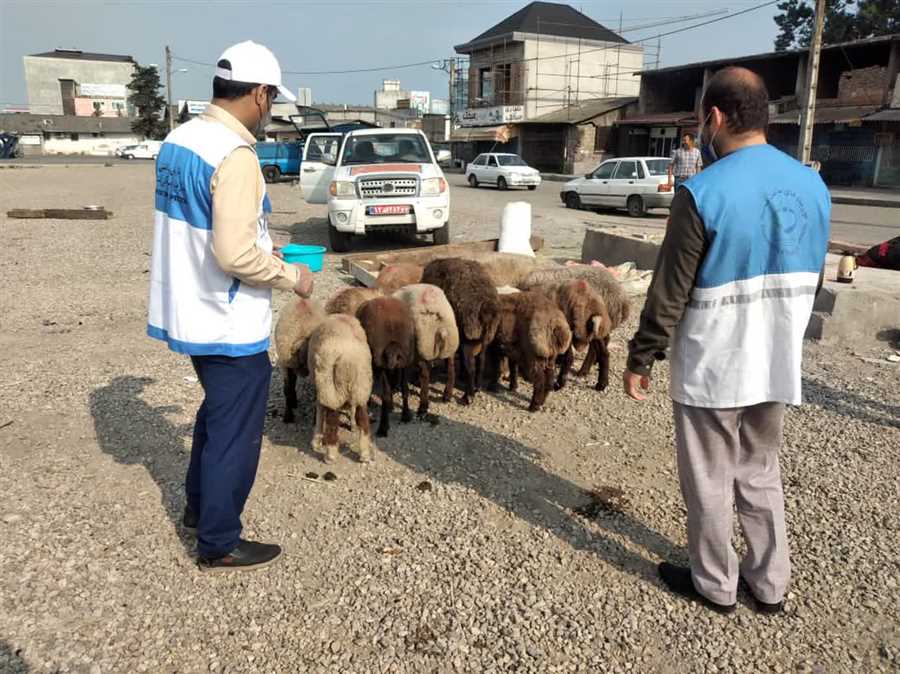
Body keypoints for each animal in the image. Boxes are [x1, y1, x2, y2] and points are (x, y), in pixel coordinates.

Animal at [356, 296, 416, 436]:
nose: (392, 365)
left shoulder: (404, 364)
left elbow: (404, 388)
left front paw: (405, 415)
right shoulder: (382, 365)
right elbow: (386, 394)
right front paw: (383, 427)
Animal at [420, 258, 500, 404]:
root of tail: (486, 308)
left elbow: (451, 364)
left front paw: (447, 394)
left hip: (470, 336)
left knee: (471, 366)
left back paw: (467, 396)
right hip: (484, 337)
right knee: (481, 361)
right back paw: (477, 387)